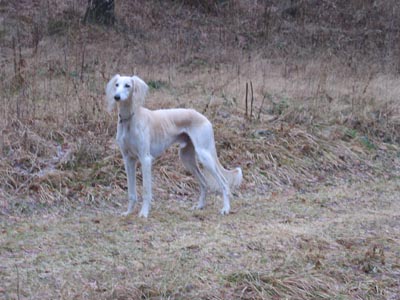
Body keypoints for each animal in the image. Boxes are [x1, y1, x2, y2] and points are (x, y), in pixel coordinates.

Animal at [105, 74, 241, 217]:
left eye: (128, 85)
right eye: (116, 85)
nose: (116, 97)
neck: (130, 119)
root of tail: (205, 118)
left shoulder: (145, 159)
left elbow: (146, 190)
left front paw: (144, 213)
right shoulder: (128, 159)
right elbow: (131, 191)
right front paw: (128, 212)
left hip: (204, 155)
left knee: (224, 182)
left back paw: (225, 209)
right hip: (186, 158)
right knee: (204, 182)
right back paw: (200, 205)